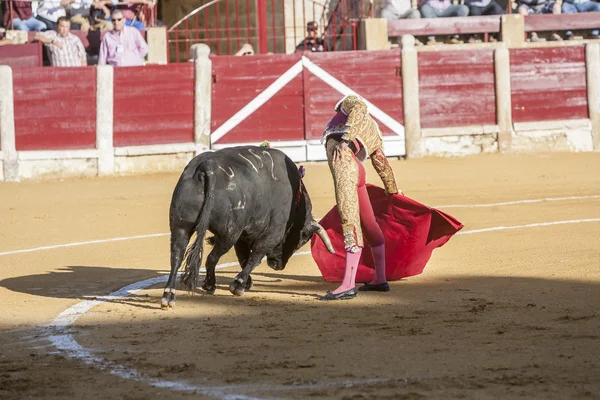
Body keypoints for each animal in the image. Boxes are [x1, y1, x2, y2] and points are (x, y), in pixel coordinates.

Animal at [162, 145, 336, 308]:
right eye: (302, 241)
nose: (277, 266)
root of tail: (208, 166)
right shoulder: (273, 233)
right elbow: (255, 256)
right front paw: (239, 285)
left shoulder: (243, 236)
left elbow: (244, 257)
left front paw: (246, 282)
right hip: (229, 232)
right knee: (212, 257)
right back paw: (209, 286)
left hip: (181, 226)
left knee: (177, 256)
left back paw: (169, 294)